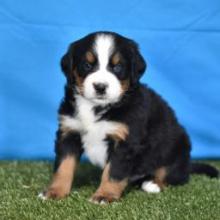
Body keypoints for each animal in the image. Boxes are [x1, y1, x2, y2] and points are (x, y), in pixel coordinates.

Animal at [39, 31, 218, 204]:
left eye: (117, 67)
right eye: (87, 65)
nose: (100, 87)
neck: (97, 107)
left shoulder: (125, 141)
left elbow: (113, 172)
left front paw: (105, 195)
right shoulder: (69, 132)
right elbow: (64, 167)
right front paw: (55, 191)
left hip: (176, 147)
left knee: (175, 175)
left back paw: (153, 183)